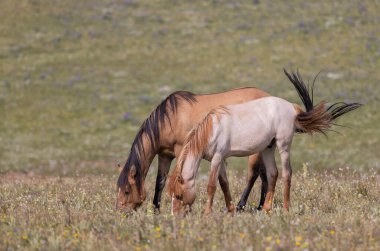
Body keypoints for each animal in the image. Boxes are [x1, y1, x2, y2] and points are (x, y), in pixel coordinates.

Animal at [114, 87, 272, 213]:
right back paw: (260, 206)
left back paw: (243, 206)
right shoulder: (164, 156)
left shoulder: (182, 151)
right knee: (265, 175)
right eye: (118, 189)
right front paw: (156, 212)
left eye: (127, 191)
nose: (120, 212)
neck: (170, 118)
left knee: (253, 175)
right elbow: (160, 183)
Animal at [169, 69, 362, 215]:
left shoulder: (217, 158)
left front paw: (208, 213)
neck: (212, 128)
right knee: (272, 173)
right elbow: (224, 184)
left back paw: (286, 208)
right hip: (268, 147)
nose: (175, 216)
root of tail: (291, 107)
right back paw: (266, 208)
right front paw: (231, 209)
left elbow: (211, 185)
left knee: (286, 173)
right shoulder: (220, 159)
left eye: (178, 195)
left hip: (283, 145)